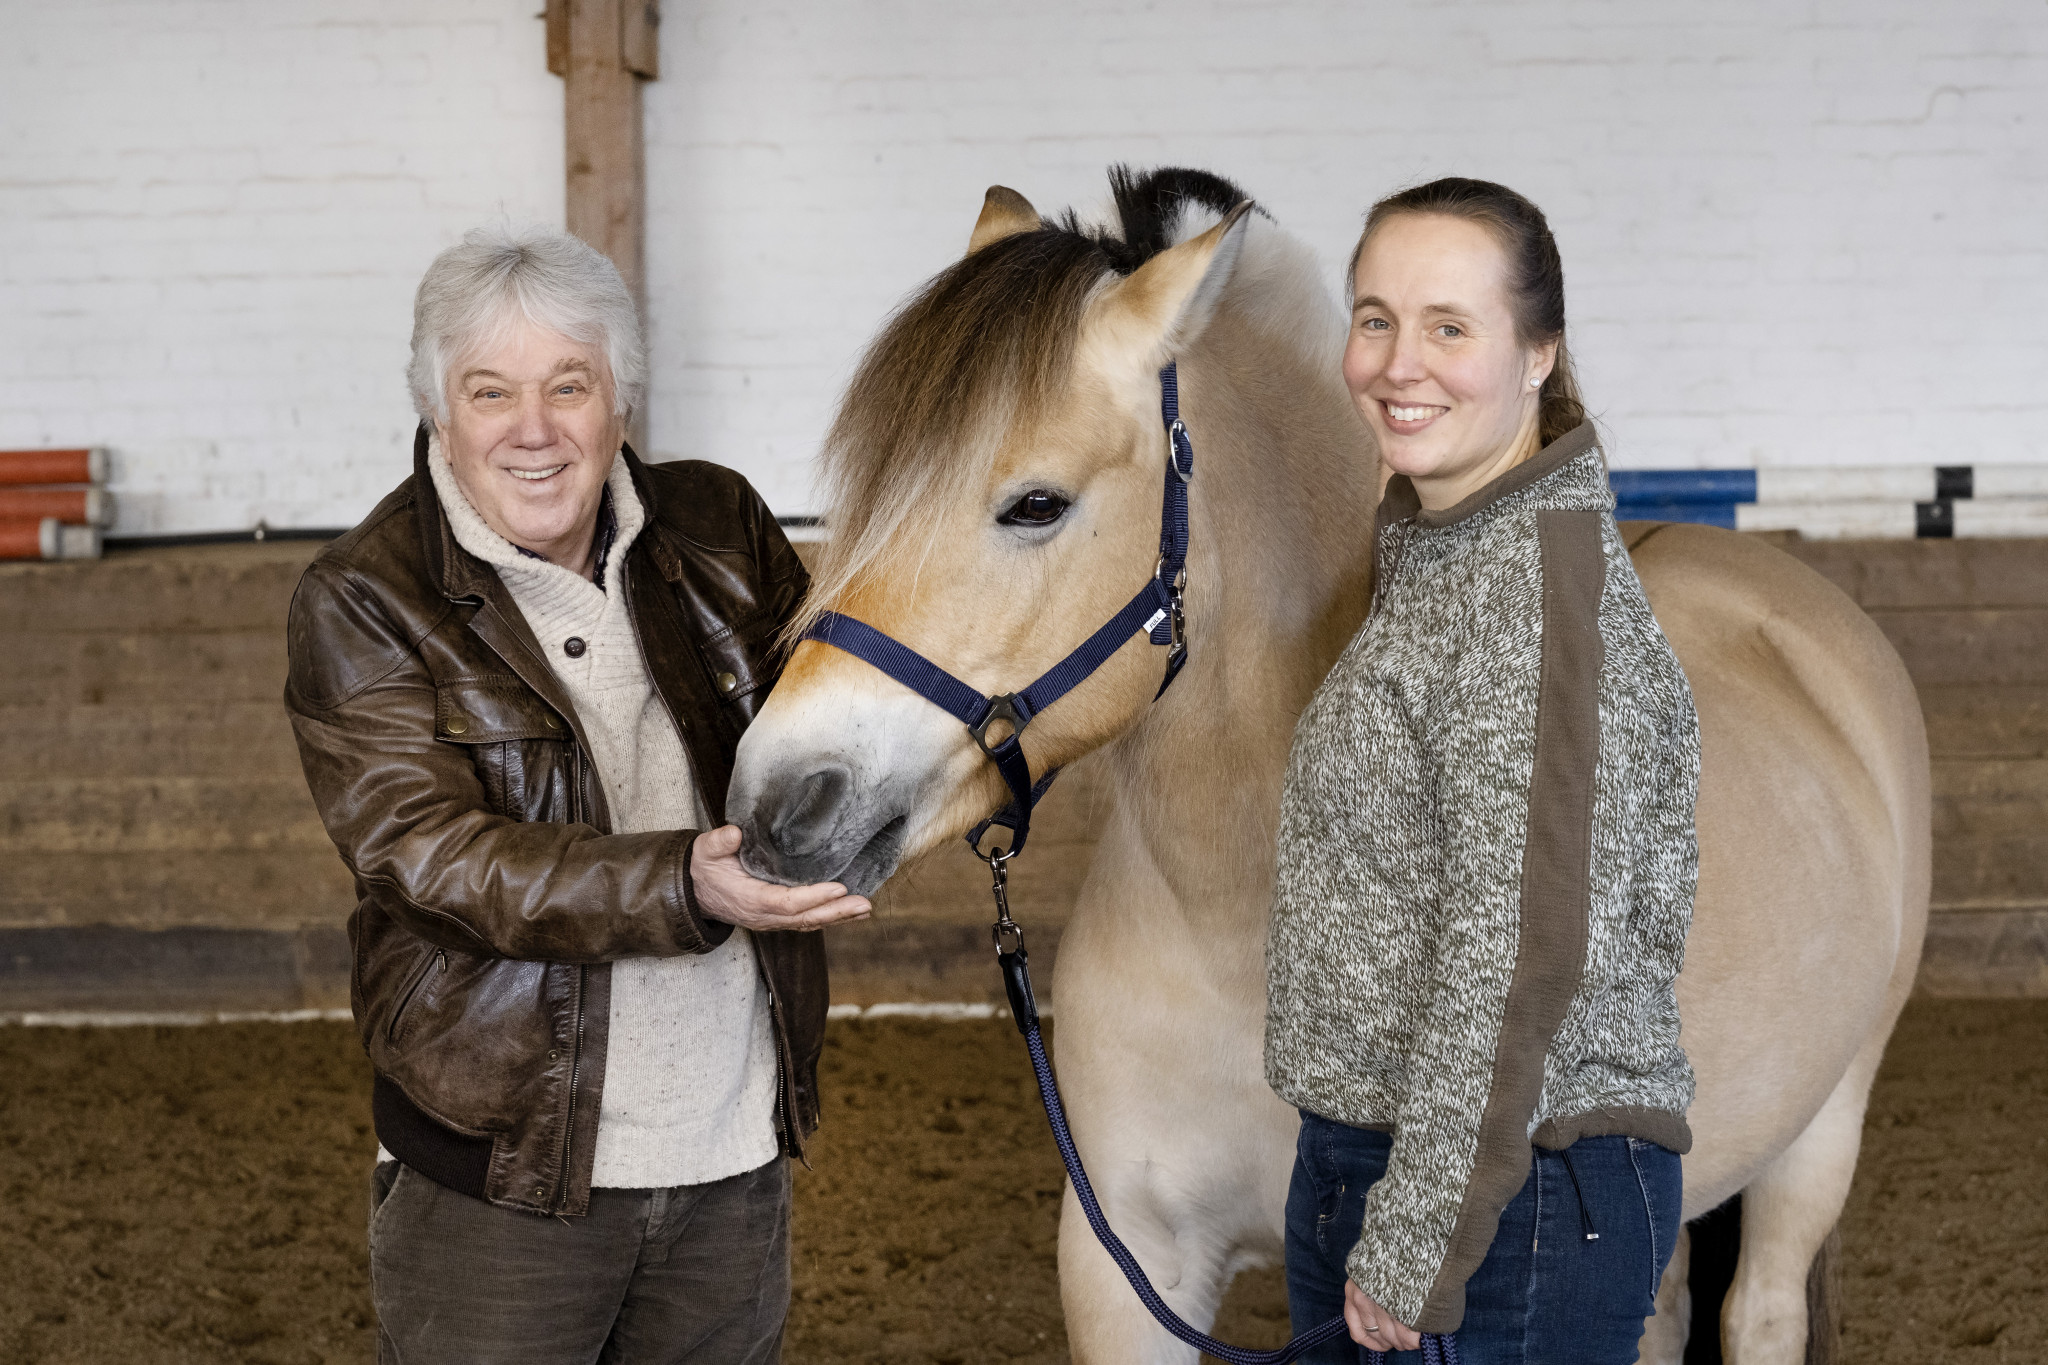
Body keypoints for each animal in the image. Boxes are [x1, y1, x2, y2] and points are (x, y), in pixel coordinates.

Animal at [729, 170, 1925, 1365]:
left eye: (1035, 504)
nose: (777, 801)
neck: (1235, 923)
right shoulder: (1129, 1269)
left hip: (1823, 1130)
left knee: (1758, 1306)